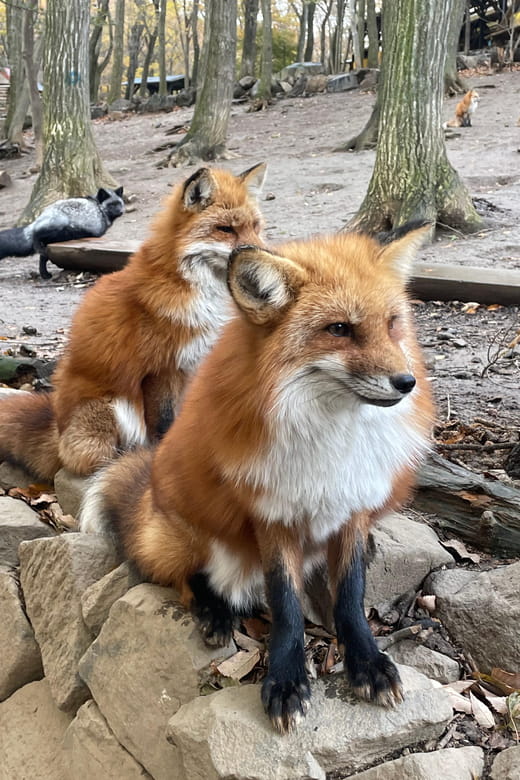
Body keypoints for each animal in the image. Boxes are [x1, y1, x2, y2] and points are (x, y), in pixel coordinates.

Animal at [0, 164, 266, 482]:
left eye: (255, 226)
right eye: (226, 229)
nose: (265, 255)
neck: (196, 293)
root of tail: (58, 428)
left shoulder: (195, 364)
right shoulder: (160, 369)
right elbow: (163, 425)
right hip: (114, 408)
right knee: (90, 462)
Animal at [80, 222, 435, 733]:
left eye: (392, 323)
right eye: (340, 329)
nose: (406, 383)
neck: (330, 440)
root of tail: (151, 492)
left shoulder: (351, 511)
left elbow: (350, 597)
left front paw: (367, 662)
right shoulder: (272, 516)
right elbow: (285, 605)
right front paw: (286, 680)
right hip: (188, 538)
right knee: (179, 576)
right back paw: (214, 613)